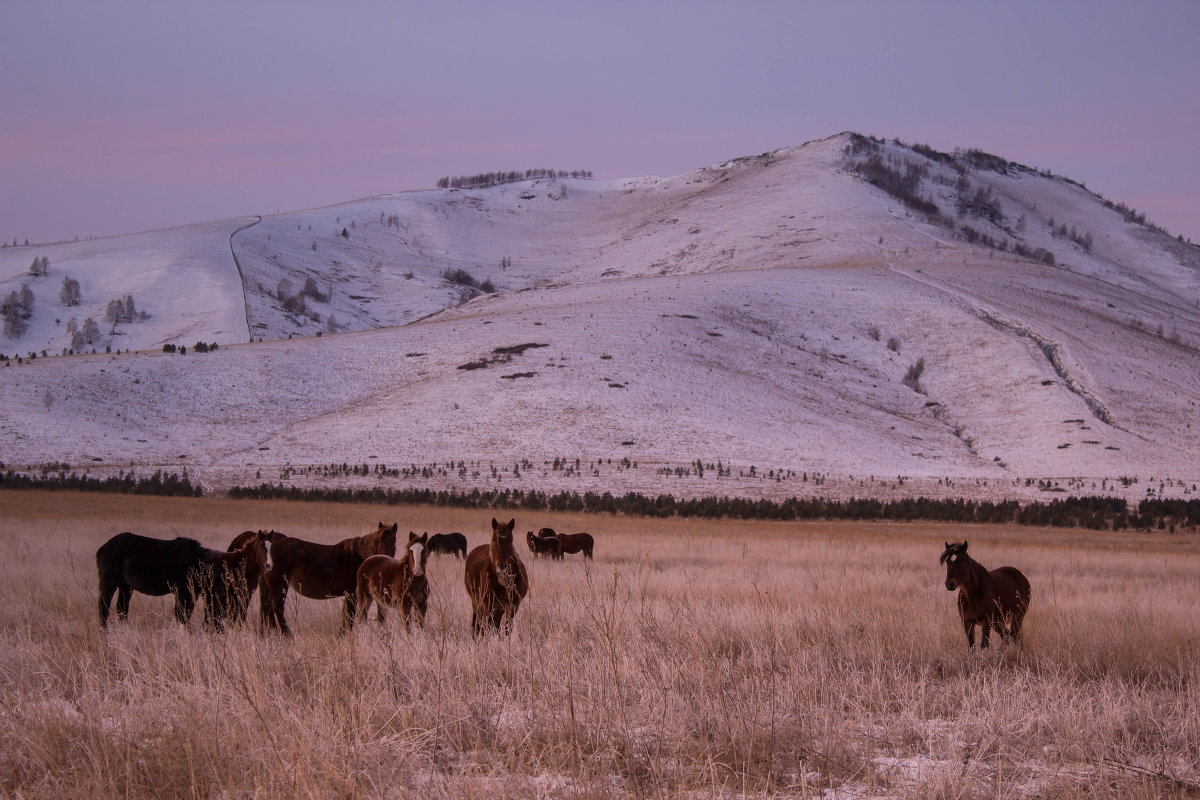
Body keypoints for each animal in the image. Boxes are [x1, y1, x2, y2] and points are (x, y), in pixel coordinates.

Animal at [259, 522, 398, 633]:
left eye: (394, 544)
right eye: (378, 542)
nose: (385, 560)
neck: (359, 557)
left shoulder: (350, 594)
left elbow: (346, 617)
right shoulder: (352, 593)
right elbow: (349, 617)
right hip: (278, 586)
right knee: (272, 608)